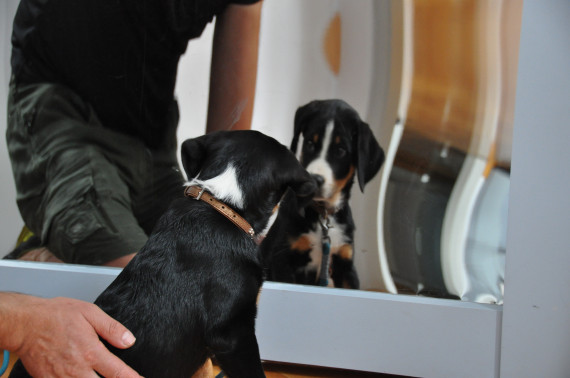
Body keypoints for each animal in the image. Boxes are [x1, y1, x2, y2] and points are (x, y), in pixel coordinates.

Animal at [264, 100, 384, 290]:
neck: (323, 214)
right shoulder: (282, 259)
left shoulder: (345, 264)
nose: (314, 179)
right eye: (310, 144)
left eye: (341, 150)